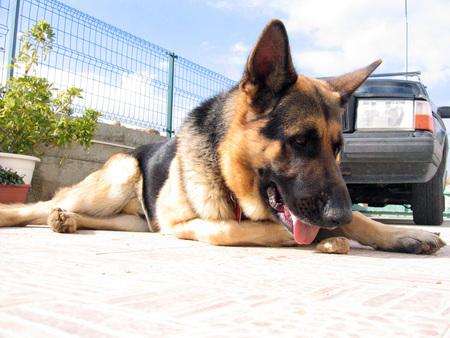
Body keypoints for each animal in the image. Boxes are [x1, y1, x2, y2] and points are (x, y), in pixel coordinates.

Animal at [0, 19, 444, 254]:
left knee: (85, 216)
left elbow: (364, 221)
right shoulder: (187, 224)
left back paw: (69, 221)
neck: (229, 177)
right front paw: (327, 235)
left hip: (133, 221)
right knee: (35, 207)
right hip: (115, 184)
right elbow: (242, 230)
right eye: (300, 141)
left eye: (337, 149)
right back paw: (26, 215)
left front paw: (399, 234)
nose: (340, 215)